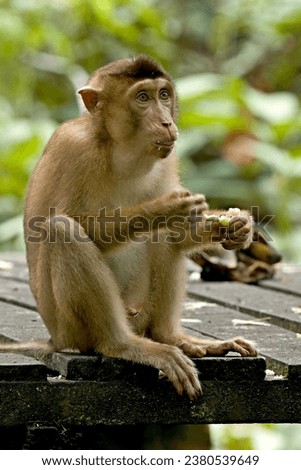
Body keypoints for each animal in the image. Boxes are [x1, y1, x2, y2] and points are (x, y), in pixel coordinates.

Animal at [3, 57, 255, 398]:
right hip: (70, 329)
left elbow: (177, 234)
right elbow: (49, 223)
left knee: (164, 241)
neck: (121, 151)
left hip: (140, 315)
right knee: (62, 230)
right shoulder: (73, 148)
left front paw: (236, 228)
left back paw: (172, 337)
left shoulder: (167, 158)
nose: (166, 123)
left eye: (164, 95)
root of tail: (56, 339)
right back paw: (122, 344)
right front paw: (162, 210)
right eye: (143, 98)